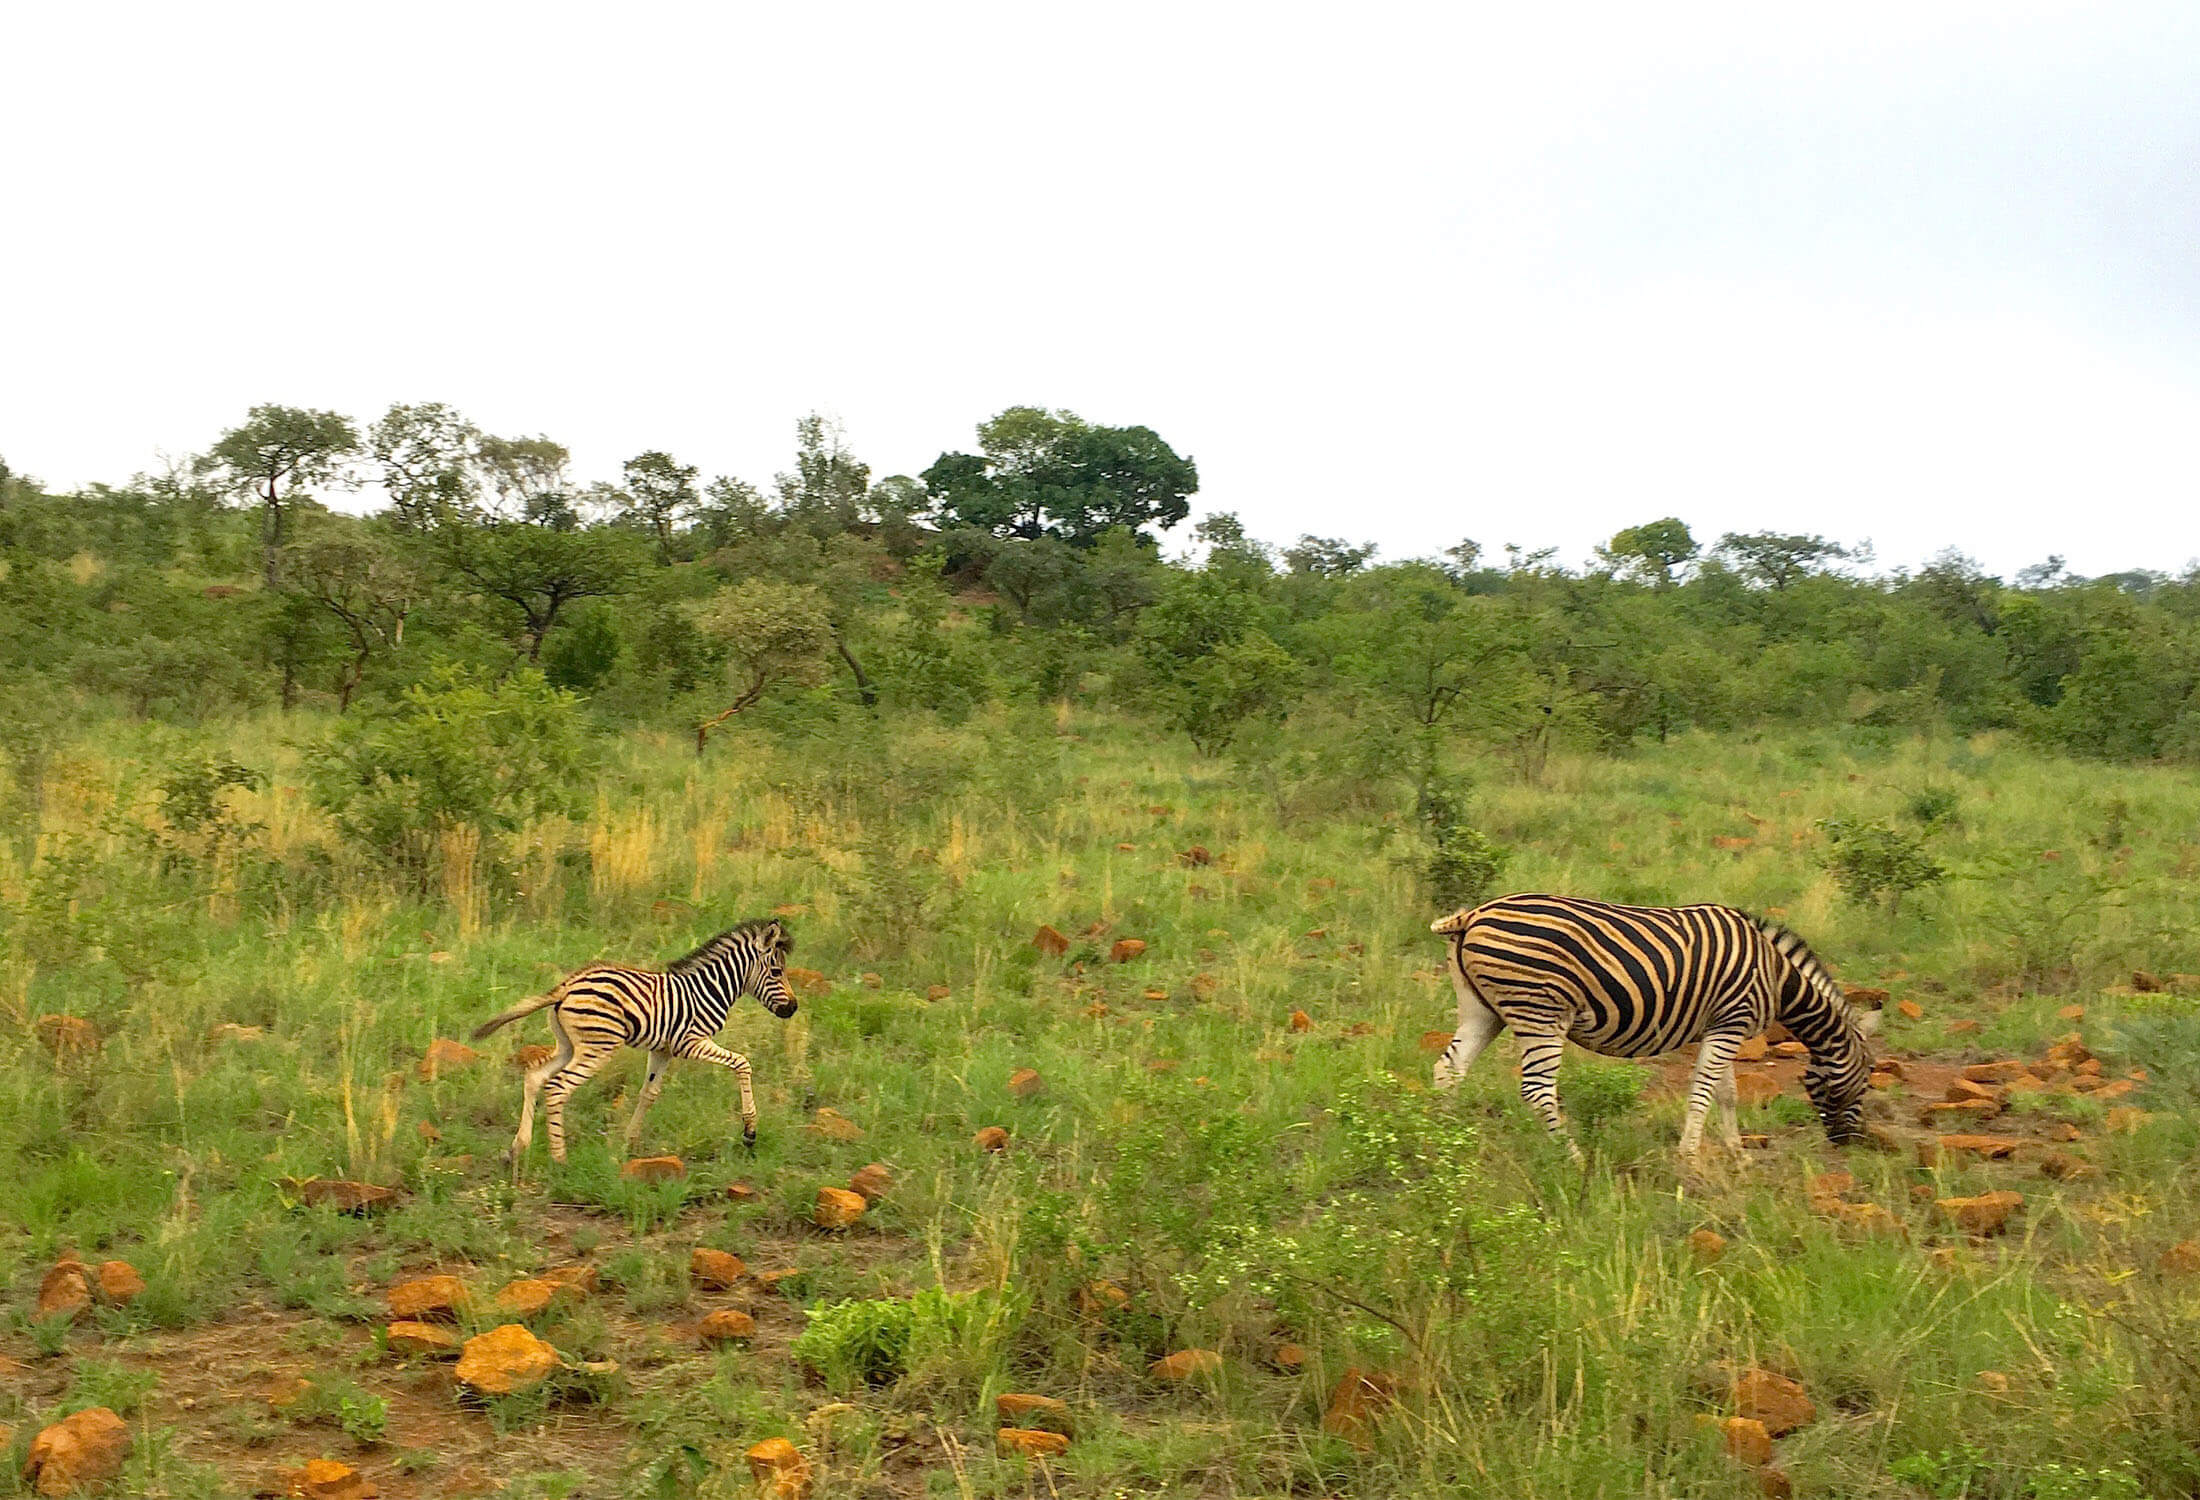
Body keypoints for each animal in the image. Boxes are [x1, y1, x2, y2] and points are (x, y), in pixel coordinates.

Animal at [468, 910, 805, 1170]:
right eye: (777, 971)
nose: (793, 1008)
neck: (708, 989)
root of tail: (567, 986)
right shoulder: (691, 1042)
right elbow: (742, 1064)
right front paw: (749, 1131)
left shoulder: (663, 1049)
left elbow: (649, 1093)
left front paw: (628, 1143)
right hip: (597, 1047)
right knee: (558, 1087)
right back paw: (560, 1159)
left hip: (568, 1045)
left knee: (534, 1076)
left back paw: (516, 1149)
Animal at [1434, 888, 1883, 1152]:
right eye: (1868, 1076)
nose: (1850, 1143)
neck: (1775, 974)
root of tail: (1473, 914)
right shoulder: (1731, 1023)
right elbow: (1703, 1091)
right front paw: (1690, 1158)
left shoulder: (1721, 1026)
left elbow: (1726, 1093)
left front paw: (1737, 1155)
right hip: (1540, 1011)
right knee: (1537, 1090)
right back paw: (1572, 1158)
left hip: (1483, 1010)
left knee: (1448, 1071)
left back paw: (1446, 1142)